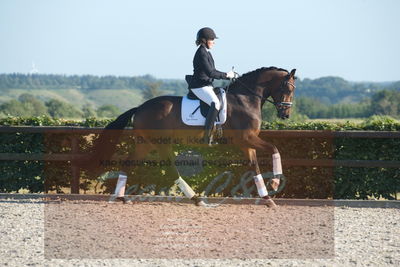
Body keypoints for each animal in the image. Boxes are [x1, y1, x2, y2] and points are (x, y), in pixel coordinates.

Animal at [83, 66, 296, 207]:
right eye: (288, 88)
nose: (285, 115)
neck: (245, 99)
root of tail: (141, 107)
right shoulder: (246, 138)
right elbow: (274, 149)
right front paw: (275, 182)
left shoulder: (247, 143)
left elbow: (255, 167)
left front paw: (267, 198)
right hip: (162, 143)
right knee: (171, 169)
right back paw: (196, 199)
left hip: (145, 143)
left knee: (129, 162)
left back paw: (120, 197)